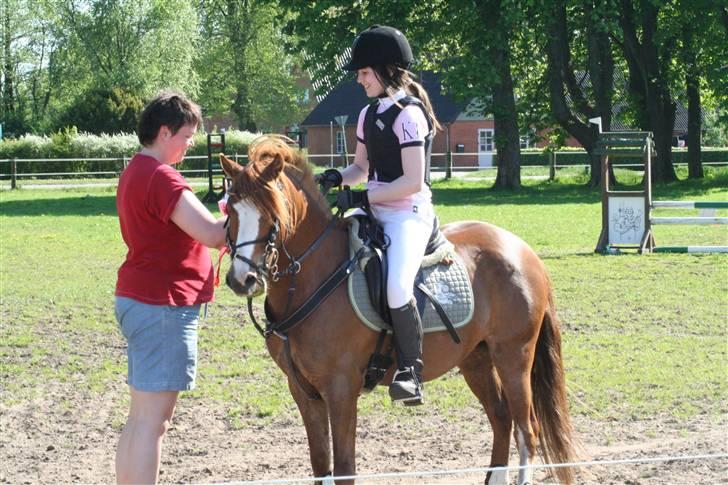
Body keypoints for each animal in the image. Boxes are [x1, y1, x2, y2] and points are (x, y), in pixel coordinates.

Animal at [219, 137, 576, 484]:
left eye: (271, 215)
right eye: (232, 212)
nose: (243, 279)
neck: (312, 278)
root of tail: (522, 249)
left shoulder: (340, 388)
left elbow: (345, 467)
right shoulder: (304, 392)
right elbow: (321, 465)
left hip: (514, 356)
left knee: (527, 430)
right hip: (477, 359)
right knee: (501, 419)